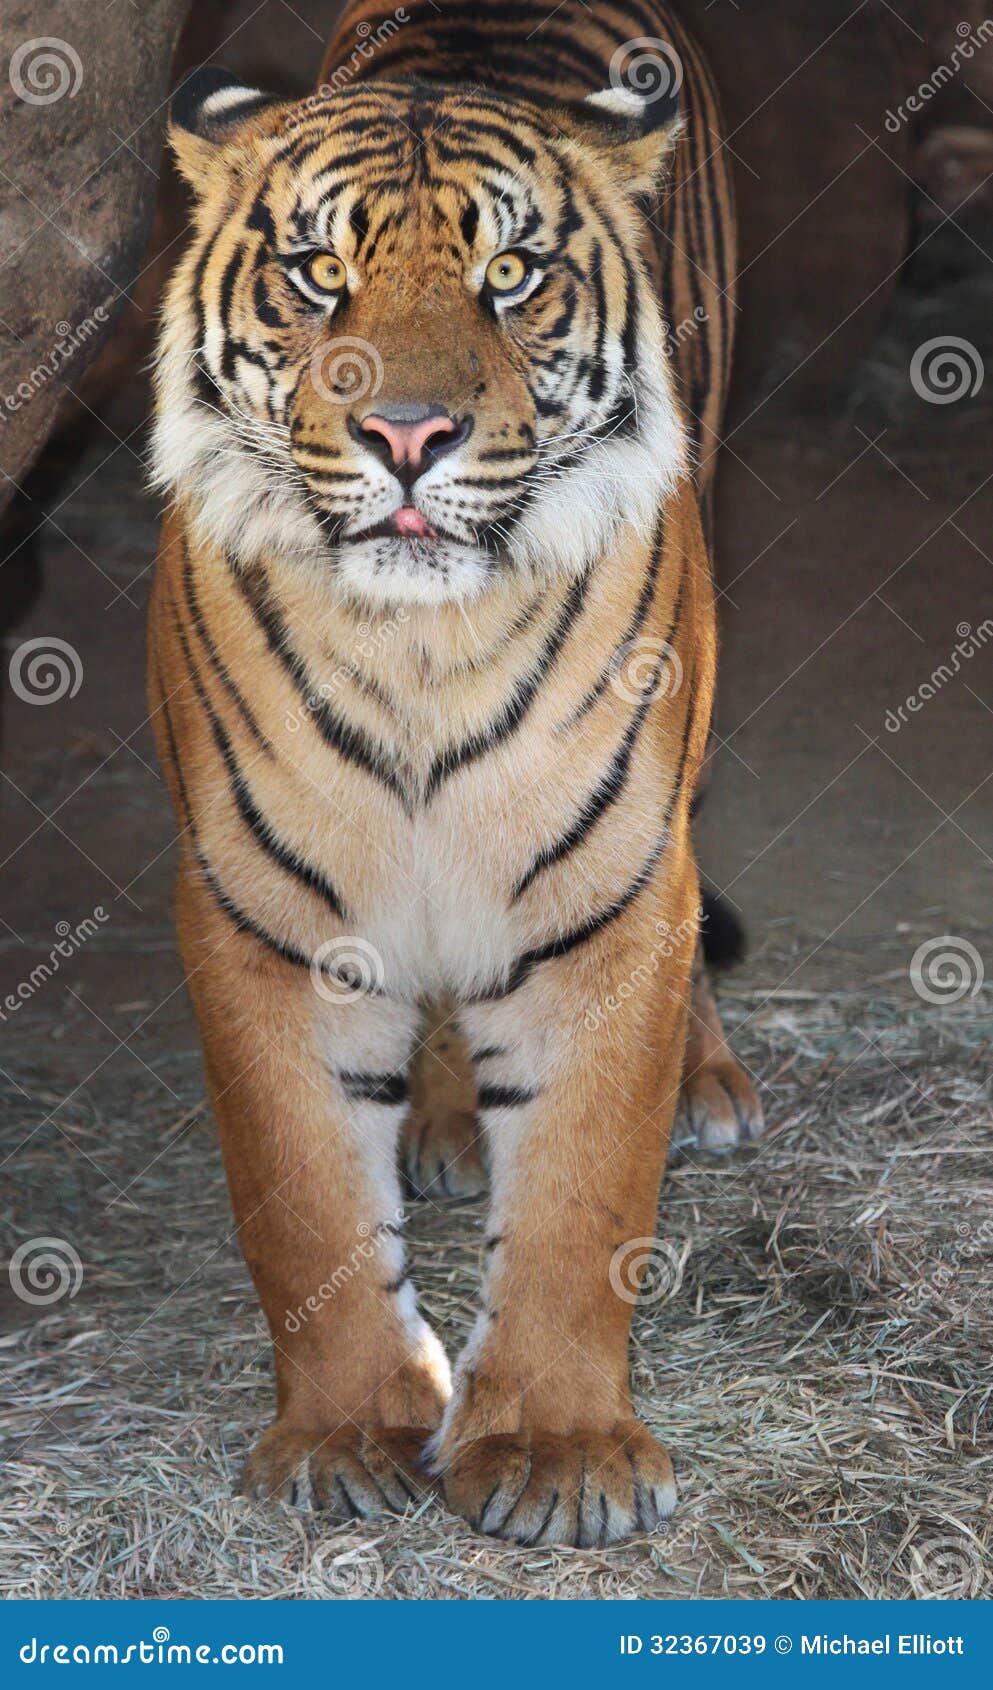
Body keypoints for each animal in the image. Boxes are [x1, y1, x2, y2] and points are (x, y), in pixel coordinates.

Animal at [149, 0, 759, 1548]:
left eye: (510, 275)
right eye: (319, 274)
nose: (408, 435)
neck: (420, 646)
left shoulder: (611, 897)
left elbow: (581, 1196)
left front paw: (558, 1453)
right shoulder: (262, 911)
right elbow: (302, 1195)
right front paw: (347, 1431)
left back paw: (710, 1083)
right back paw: (438, 1118)